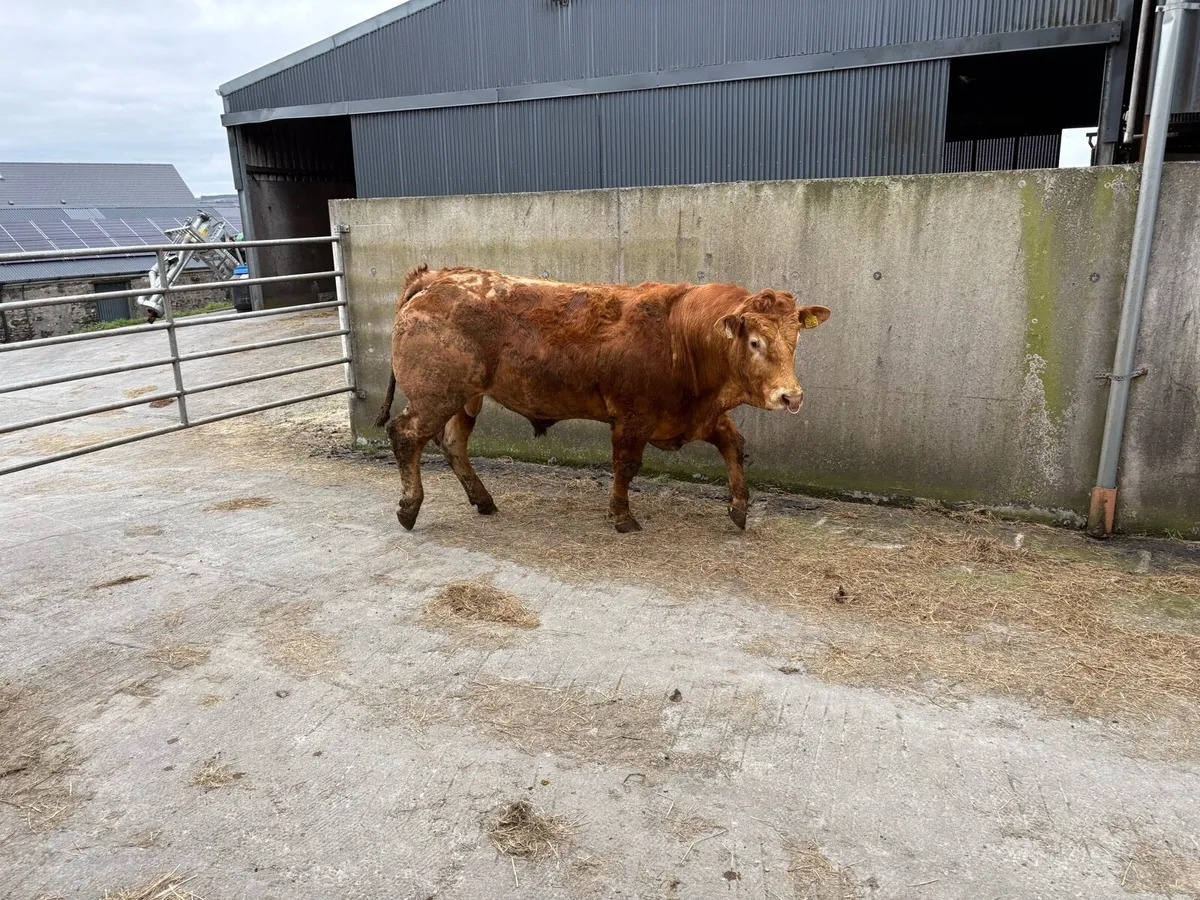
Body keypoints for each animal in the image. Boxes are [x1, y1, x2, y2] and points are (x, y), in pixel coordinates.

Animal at [375, 265, 830, 533]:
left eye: (795, 339)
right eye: (755, 342)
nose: (791, 396)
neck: (680, 334)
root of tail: (438, 276)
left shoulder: (700, 415)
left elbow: (734, 446)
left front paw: (739, 508)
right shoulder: (632, 416)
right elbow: (626, 466)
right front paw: (622, 516)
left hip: (466, 397)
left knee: (453, 443)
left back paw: (483, 500)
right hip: (436, 394)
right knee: (406, 435)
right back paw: (409, 508)